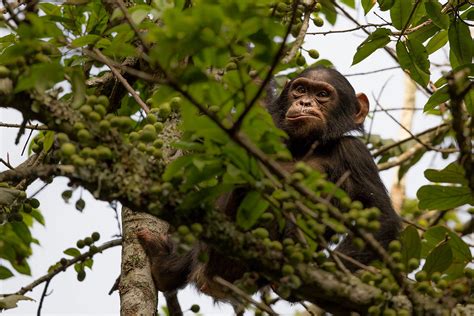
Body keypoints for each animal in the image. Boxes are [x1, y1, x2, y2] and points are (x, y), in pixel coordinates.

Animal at [136, 66, 400, 302]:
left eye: (322, 94)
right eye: (300, 89)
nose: (305, 103)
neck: (304, 145)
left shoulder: (356, 154)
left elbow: (381, 218)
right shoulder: (261, 121)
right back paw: (164, 266)